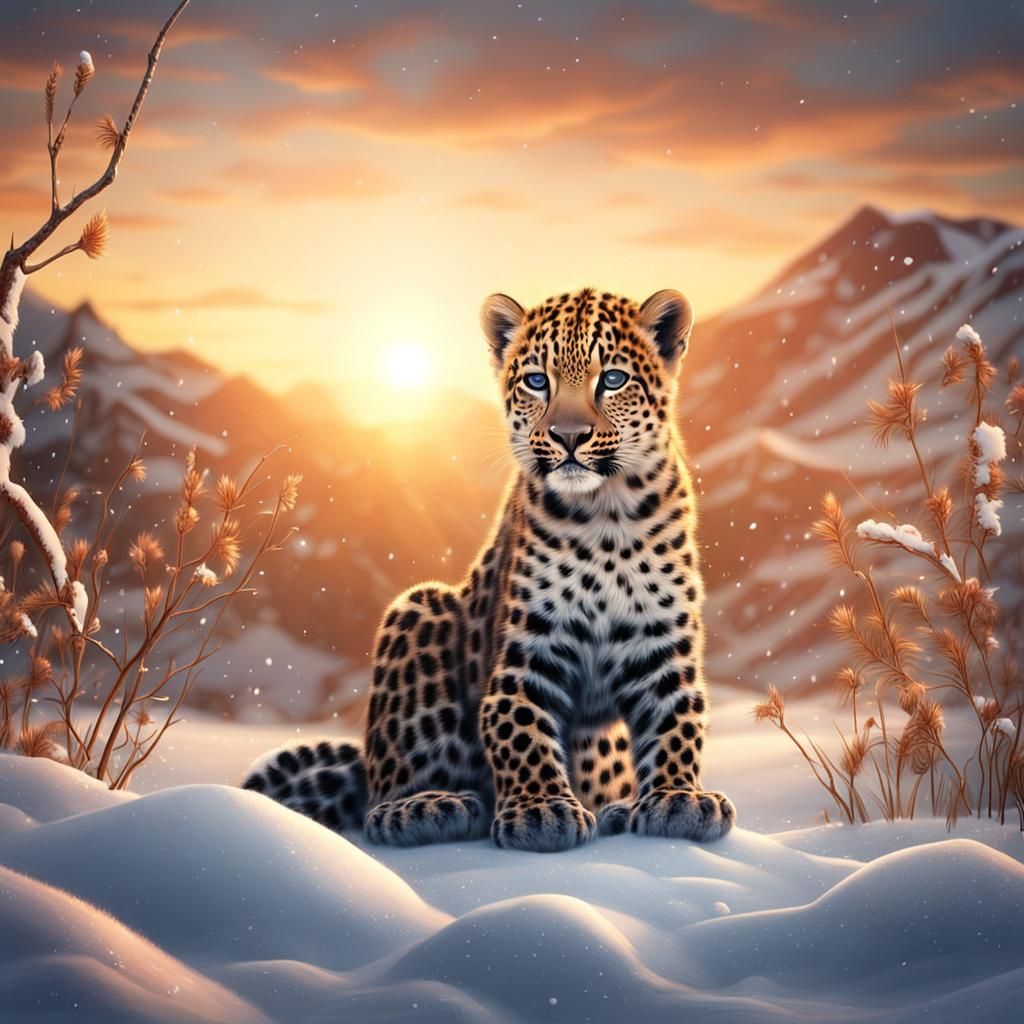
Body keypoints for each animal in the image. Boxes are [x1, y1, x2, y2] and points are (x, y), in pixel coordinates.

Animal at [243, 287, 736, 852]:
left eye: (612, 378)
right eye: (537, 381)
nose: (569, 437)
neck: (605, 518)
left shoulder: (661, 647)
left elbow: (679, 721)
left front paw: (679, 799)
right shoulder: (530, 651)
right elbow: (519, 726)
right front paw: (540, 811)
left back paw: (613, 808)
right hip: (417, 609)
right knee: (379, 801)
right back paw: (435, 807)